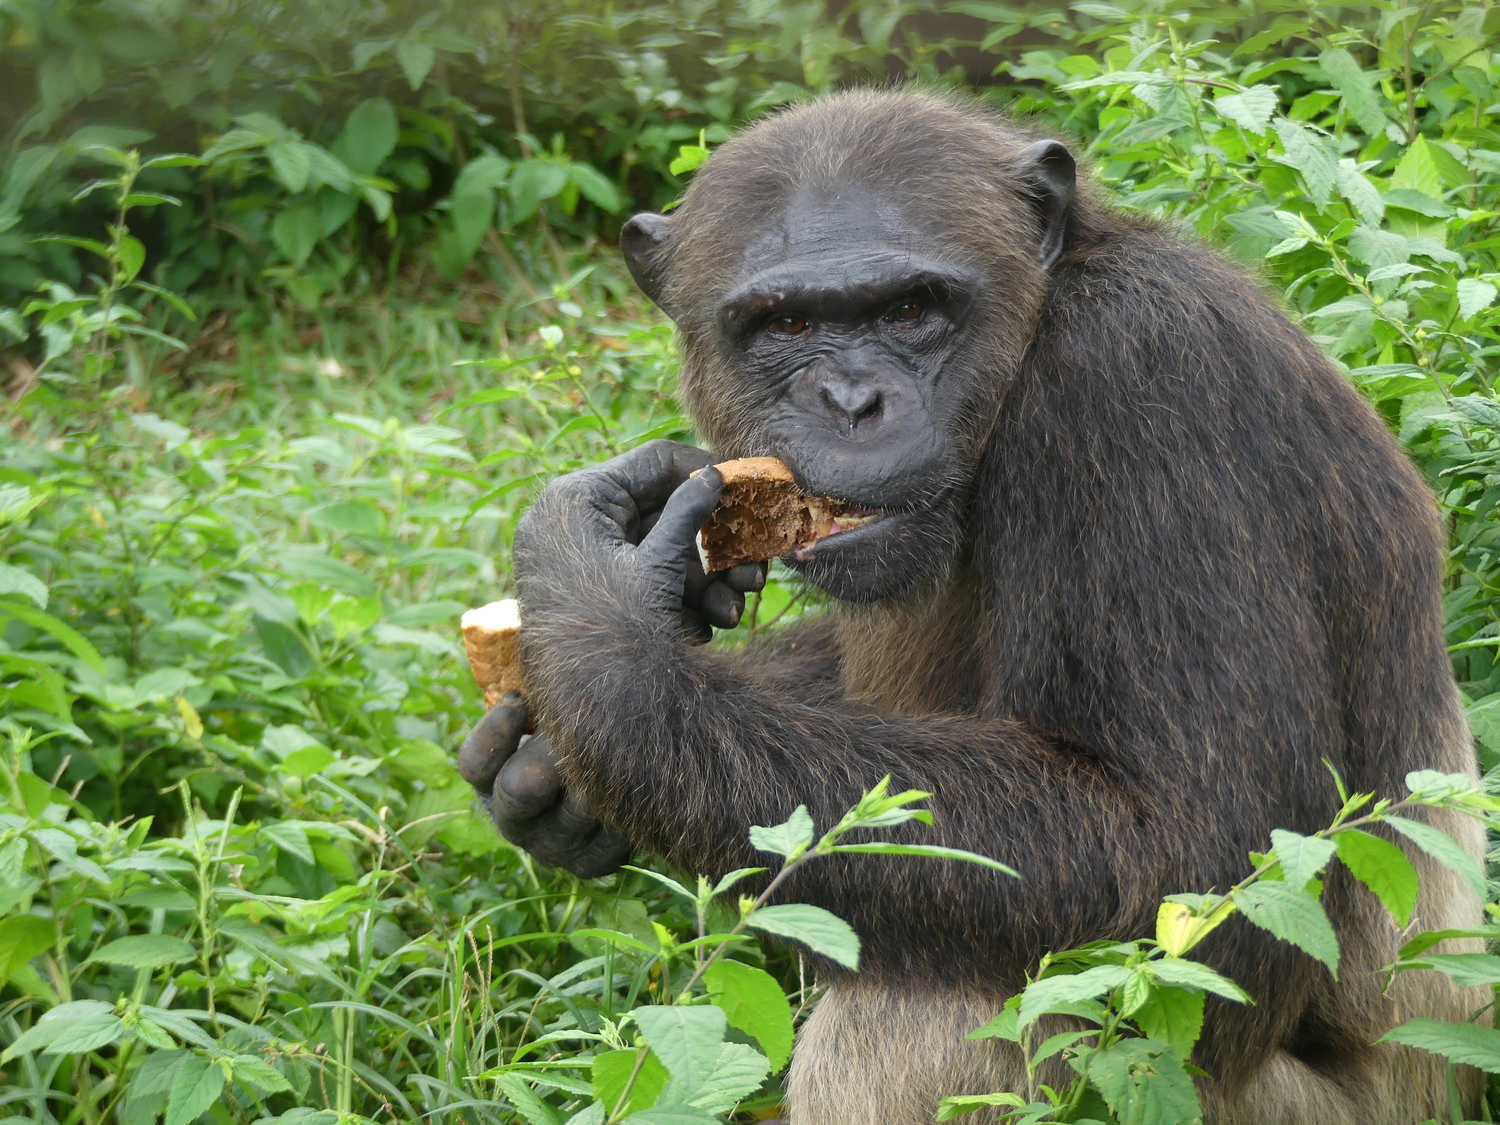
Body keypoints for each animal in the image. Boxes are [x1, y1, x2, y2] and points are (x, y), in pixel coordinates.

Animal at [456, 90, 1488, 1125]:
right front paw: (546, 769)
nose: (853, 399)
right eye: (784, 324)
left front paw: (596, 621)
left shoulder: (1146, 381)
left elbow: (1202, 858)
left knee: (925, 1019)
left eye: (913, 309)